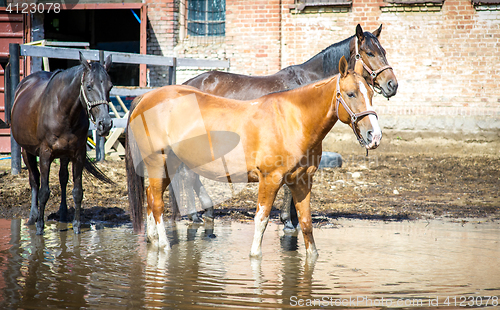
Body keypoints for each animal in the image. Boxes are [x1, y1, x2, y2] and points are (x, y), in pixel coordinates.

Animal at [10, 52, 114, 235]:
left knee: (63, 178)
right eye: (89, 86)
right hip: (26, 151)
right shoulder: (45, 154)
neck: (63, 111)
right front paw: (40, 227)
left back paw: (63, 214)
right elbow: (44, 191)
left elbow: (77, 191)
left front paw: (77, 227)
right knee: (34, 180)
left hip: (64, 154)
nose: (105, 124)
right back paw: (32, 217)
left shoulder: (78, 154)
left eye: (110, 87)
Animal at [125, 56, 378, 256]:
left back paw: (153, 240)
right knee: (157, 204)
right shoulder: (270, 179)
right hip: (158, 162)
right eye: (351, 94)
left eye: (371, 93)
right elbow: (261, 221)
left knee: (150, 197)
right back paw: (164, 246)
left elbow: (306, 223)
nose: (374, 135)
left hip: (170, 165)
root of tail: (145, 98)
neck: (293, 120)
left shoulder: (302, 181)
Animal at [172, 24, 398, 230]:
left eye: (384, 52)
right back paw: (196, 214)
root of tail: (188, 83)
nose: (392, 85)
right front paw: (289, 221)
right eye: (370, 53)